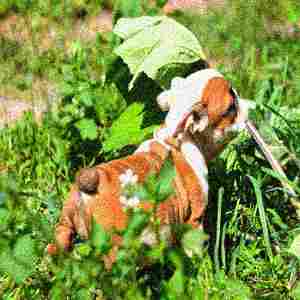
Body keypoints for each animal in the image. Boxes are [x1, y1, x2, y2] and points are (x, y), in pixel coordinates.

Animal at [47, 68, 253, 268]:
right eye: (231, 107)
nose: (249, 106)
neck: (179, 137)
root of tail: (86, 191)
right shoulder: (194, 220)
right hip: (115, 252)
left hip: (63, 230)